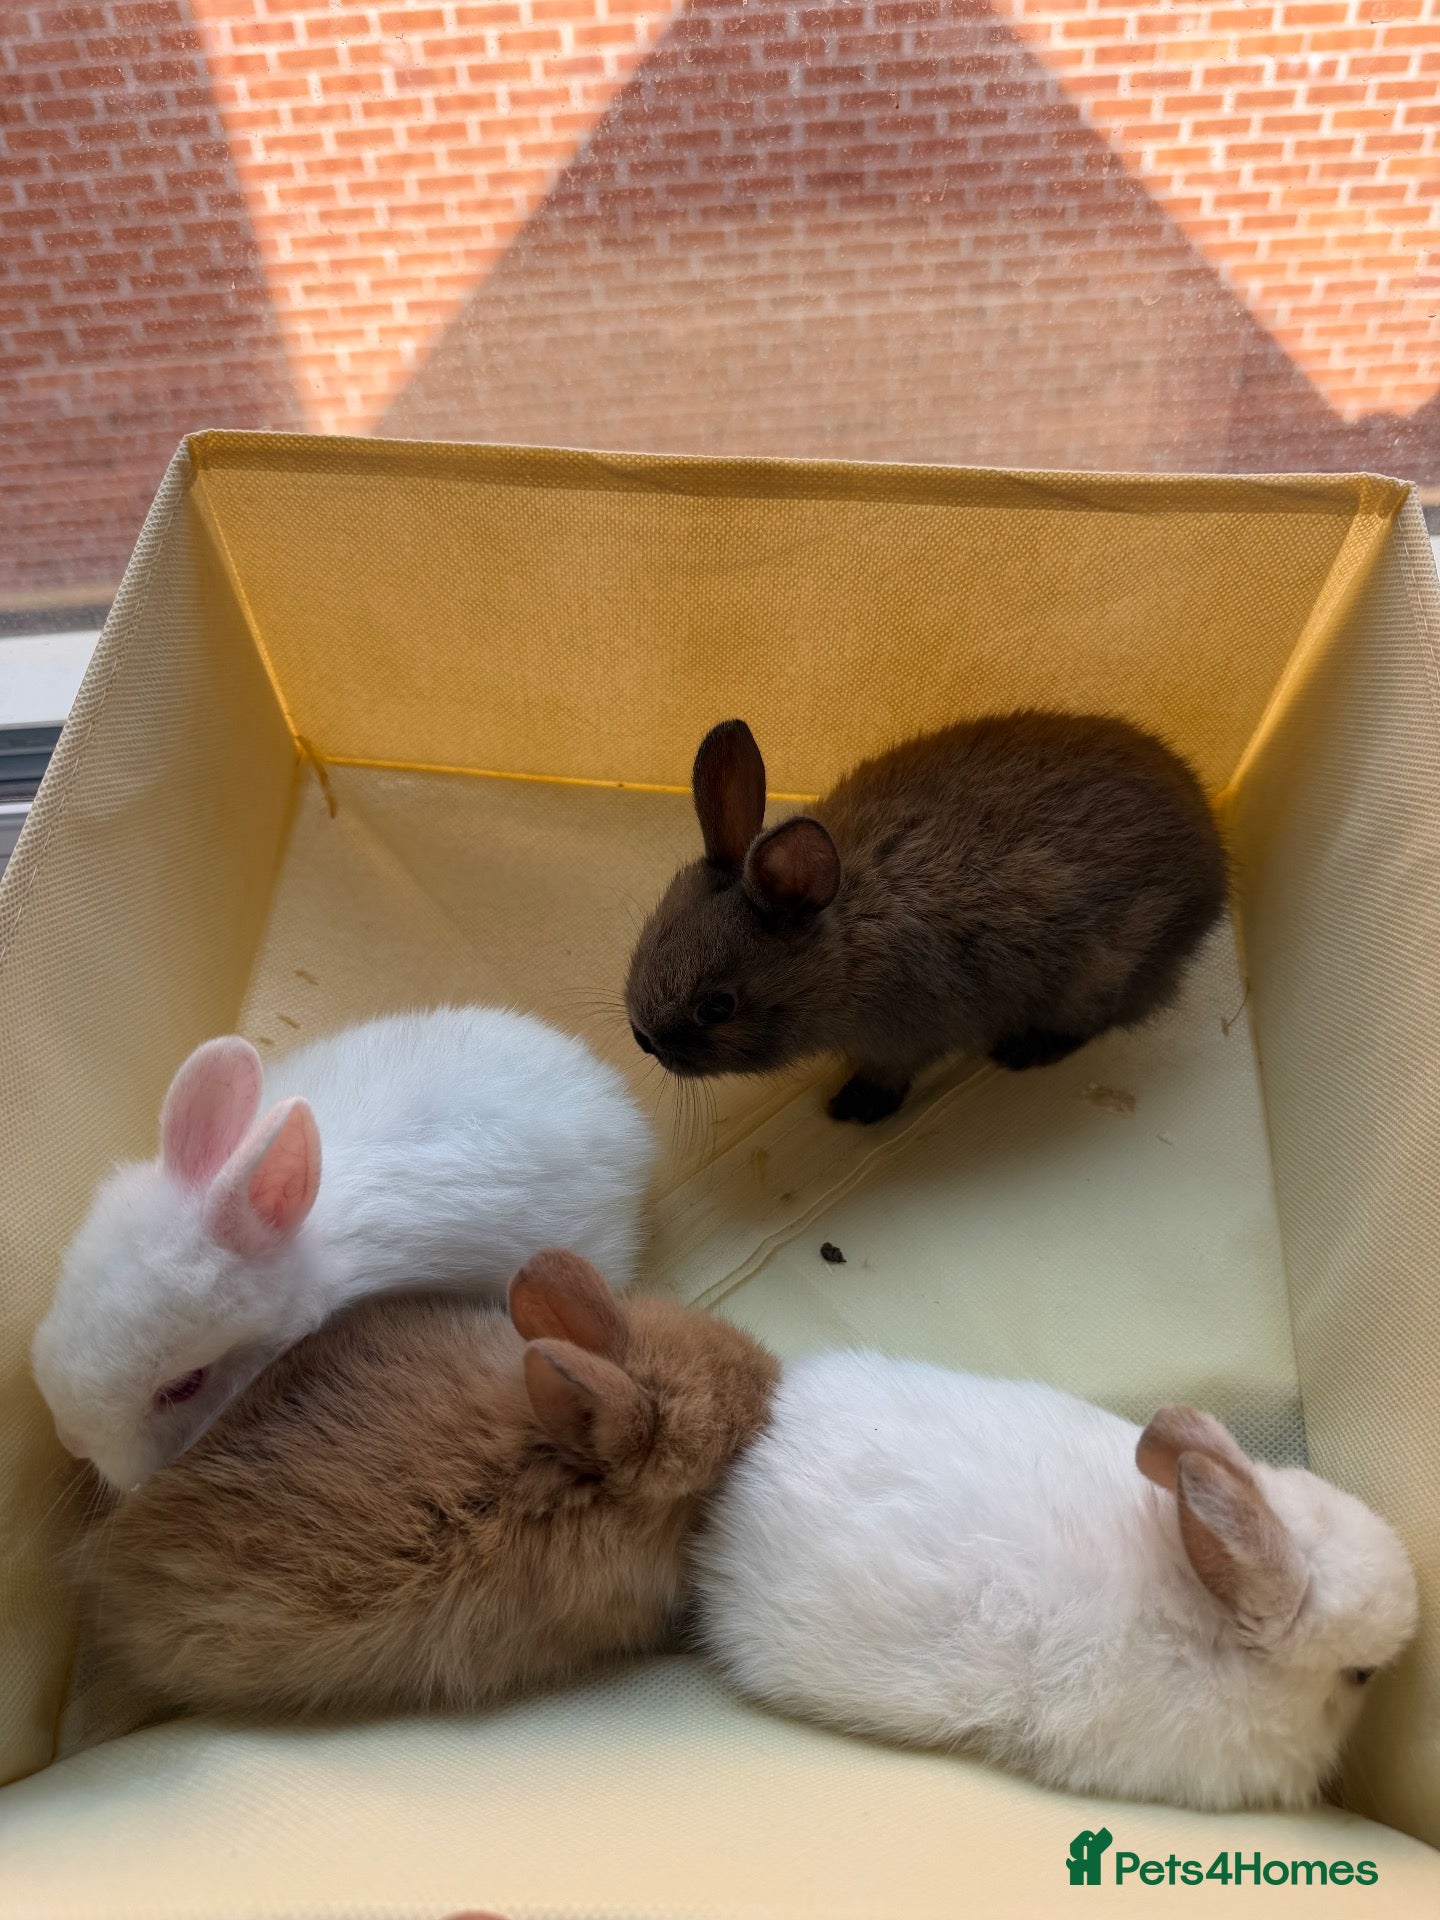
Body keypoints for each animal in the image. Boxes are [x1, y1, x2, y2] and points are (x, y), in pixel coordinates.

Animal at [626, 712, 1228, 1123]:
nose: (643, 1040)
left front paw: (854, 1109)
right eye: (646, 941)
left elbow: (891, 1074)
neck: (841, 950)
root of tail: (1216, 878)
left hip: (1101, 973)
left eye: (717, 1007)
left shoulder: (901, 1039)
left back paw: (1023, 1050)